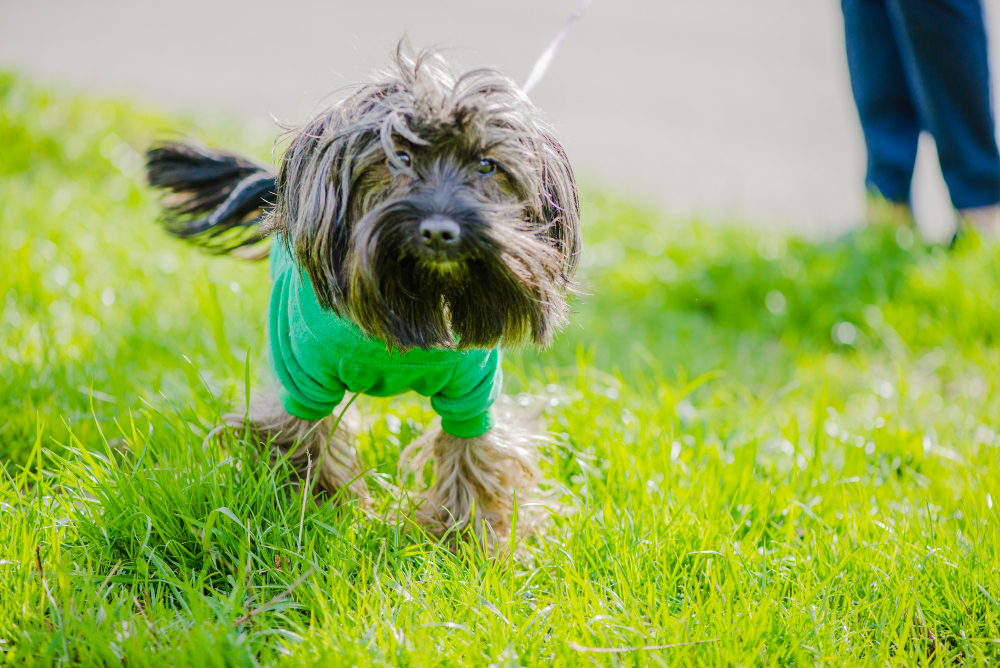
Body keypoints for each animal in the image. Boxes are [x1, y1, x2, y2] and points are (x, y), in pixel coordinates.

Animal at [149, 47, 584, 544]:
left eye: (487, 165)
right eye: (399, 157)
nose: (440, 231)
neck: (414, 293)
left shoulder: (474, 390)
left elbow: (474, 453)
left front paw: (469, 537)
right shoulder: (303, 376)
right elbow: (301, 436)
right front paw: (312, 511)